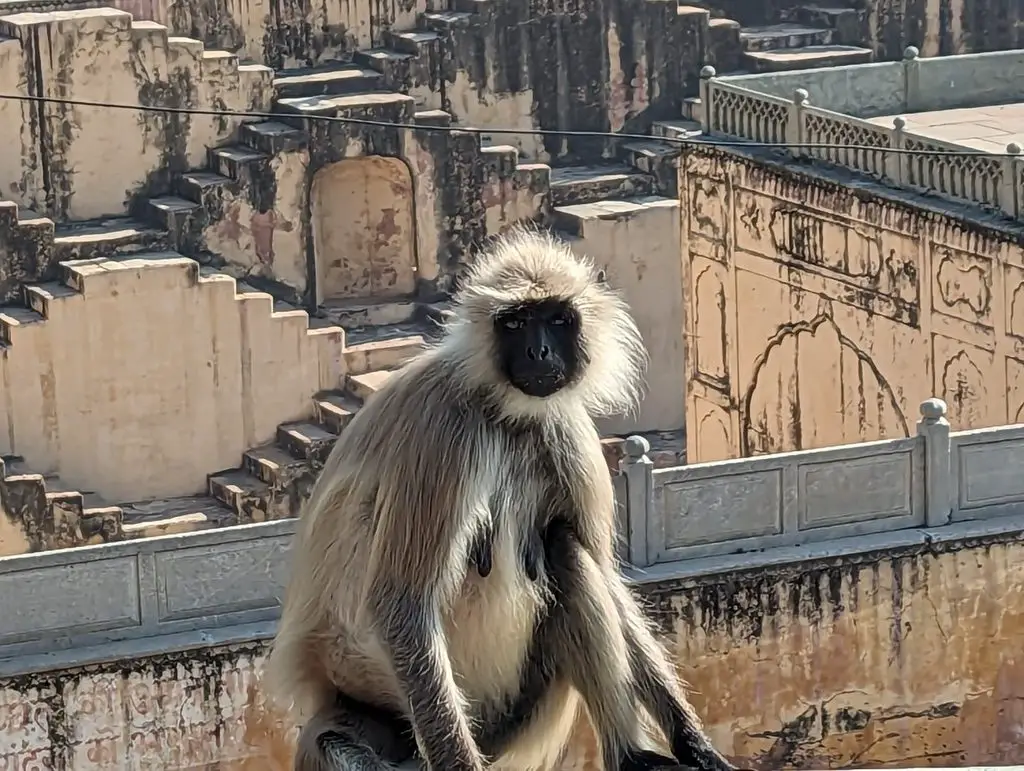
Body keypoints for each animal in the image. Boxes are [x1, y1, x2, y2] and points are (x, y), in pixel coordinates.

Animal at [264, 225, 741, 769]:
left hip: (518, 717)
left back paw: (630, 755)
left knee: (566, 550)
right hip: (374, 686)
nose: (539, 353)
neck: (507, 414)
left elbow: (606, 577)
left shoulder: (567, 429)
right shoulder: (443, 430)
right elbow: (402, 603)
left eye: (557, 319)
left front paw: (693, 742)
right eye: (514, 323)